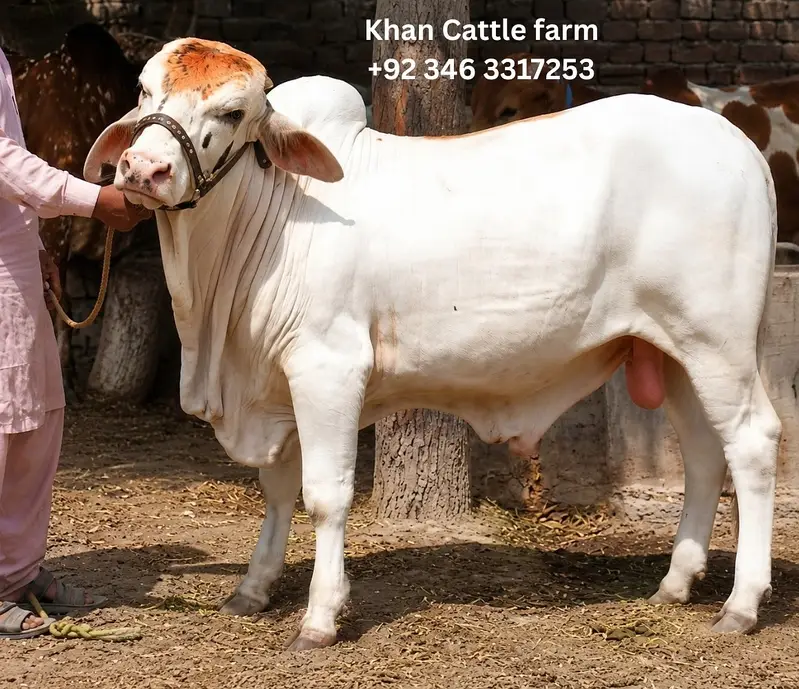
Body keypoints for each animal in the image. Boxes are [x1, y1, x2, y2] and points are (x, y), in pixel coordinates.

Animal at [84, 38, 780, 650]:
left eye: (232, 112)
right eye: (144, 90)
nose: (144, 169)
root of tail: (738, 144)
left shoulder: (327, 369)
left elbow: (325, 496)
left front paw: (320, 617)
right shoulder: (275, 383)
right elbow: (279, 490)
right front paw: (253, 589)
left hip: (716, 344)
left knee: (751, 443)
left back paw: (741, 605)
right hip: (673, 351)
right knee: (703, 454)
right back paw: (675, 584)